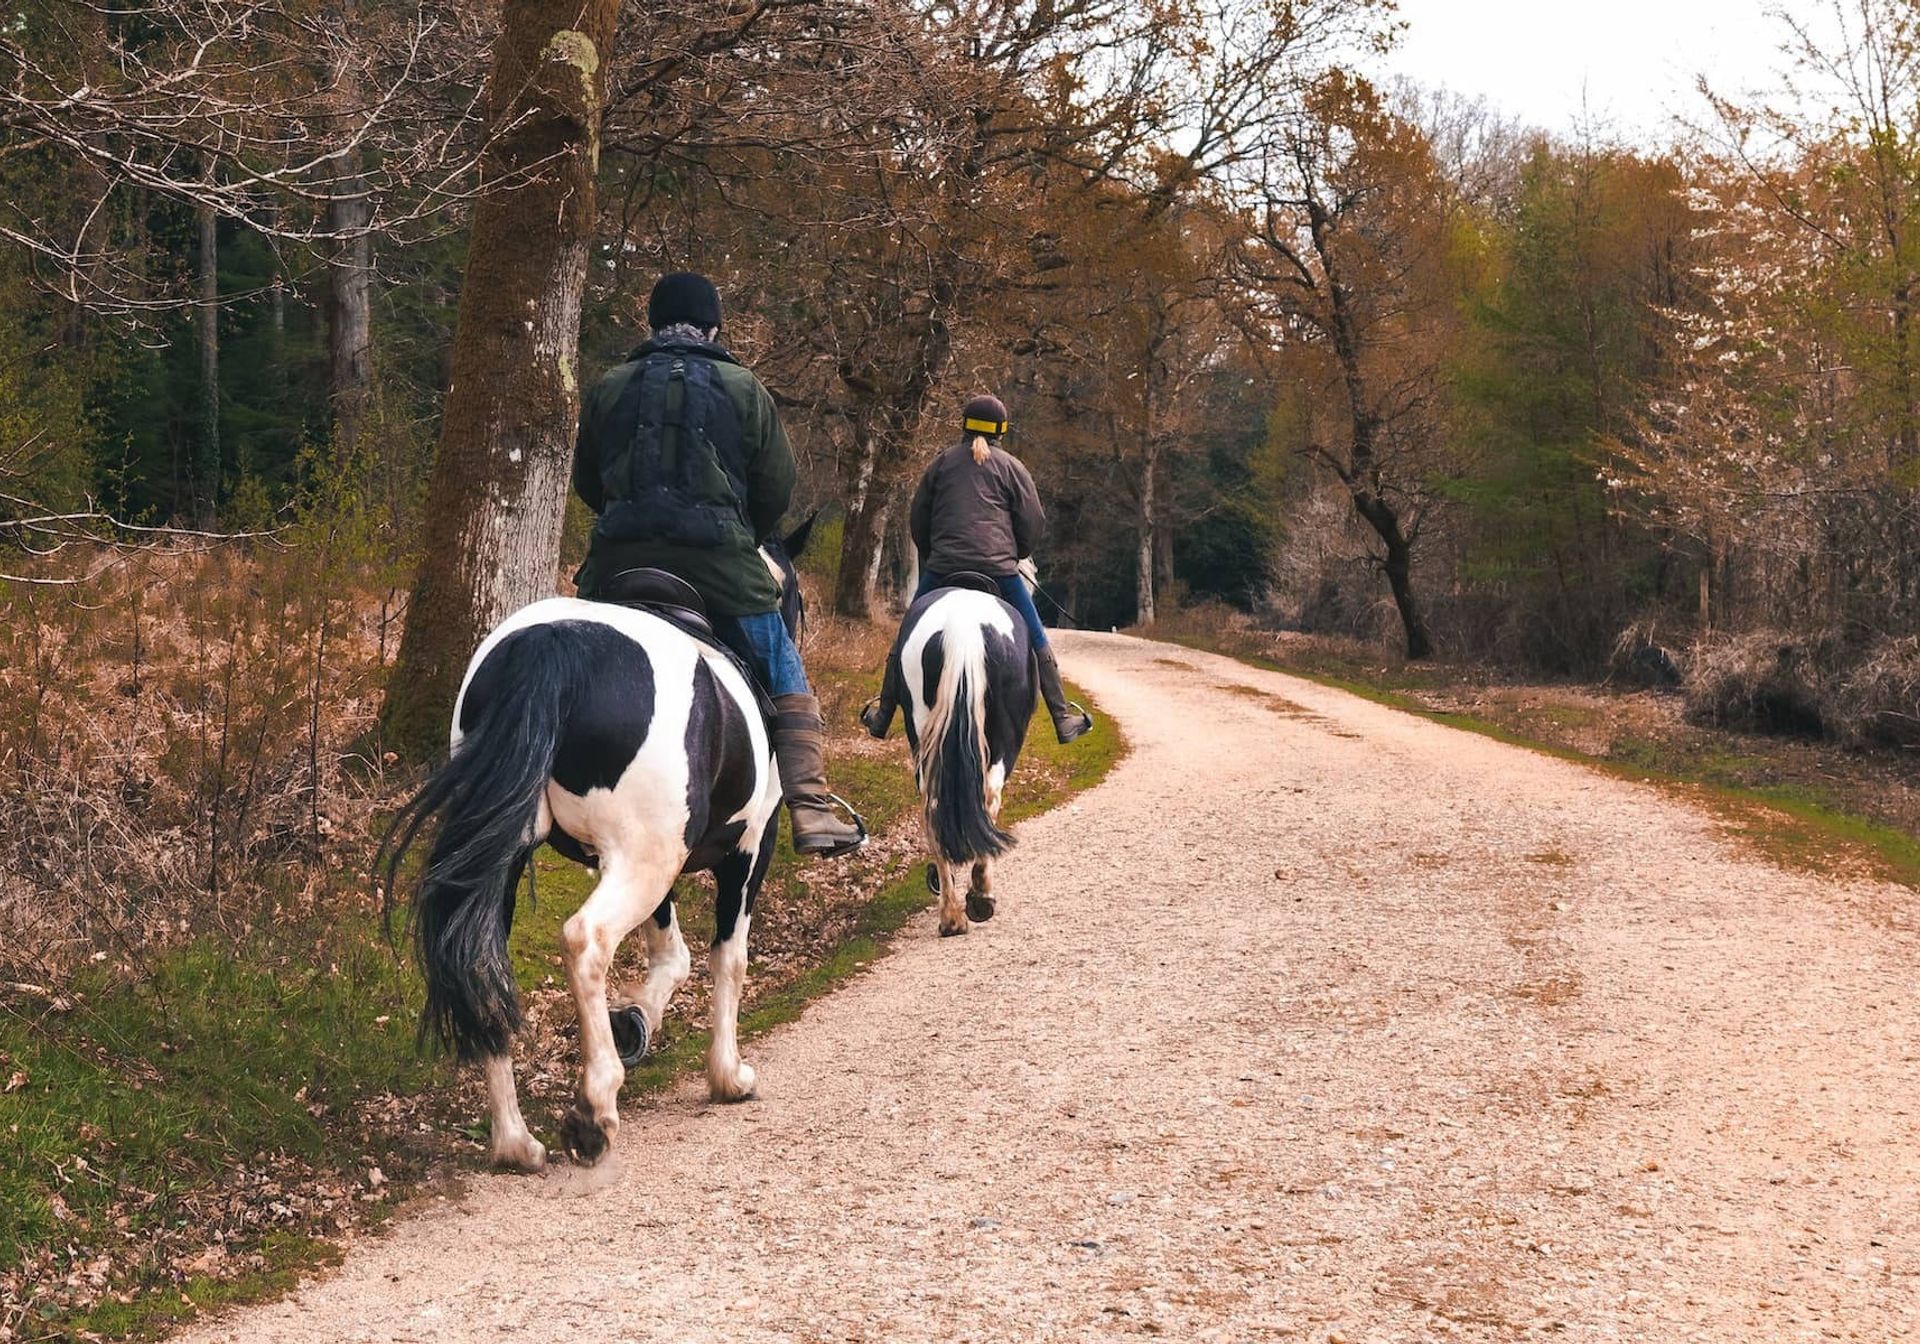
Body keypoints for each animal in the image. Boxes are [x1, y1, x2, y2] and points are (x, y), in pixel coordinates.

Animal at [383, 518, 817, 1172]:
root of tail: (554, 647)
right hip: (643, 861)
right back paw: (594, 1109)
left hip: (517, 859)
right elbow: (727, 959)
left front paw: (635, 1020)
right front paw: (727, 1075)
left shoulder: (657, 864)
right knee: (586, 941)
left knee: (482, 960)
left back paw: (514, 1141)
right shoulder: (746, 852)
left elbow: (672, 955)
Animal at [890, 579, 1039, 937]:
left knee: (932, 806)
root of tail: (962, 628)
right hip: (1004, 739)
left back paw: (951, 915)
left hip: (923, 735)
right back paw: (979, 897)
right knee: (989, 798)